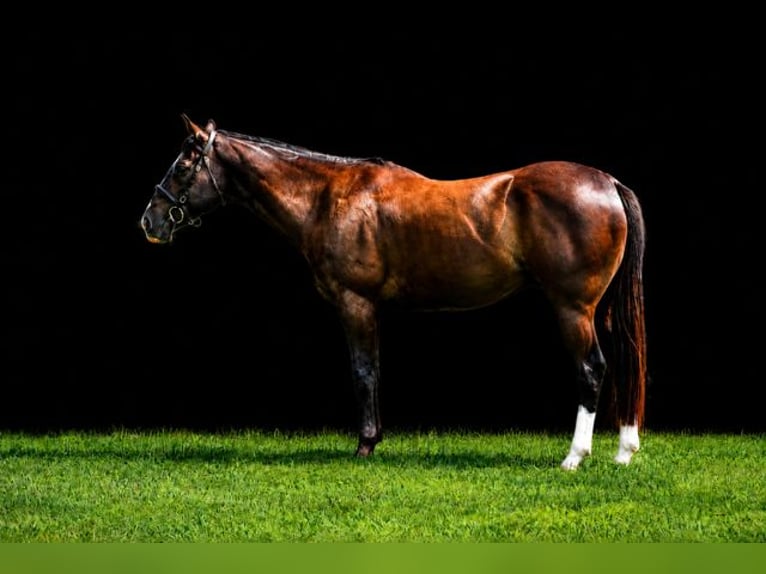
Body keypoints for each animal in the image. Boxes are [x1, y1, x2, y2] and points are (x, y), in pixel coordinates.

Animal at [140, 115, 647, 470]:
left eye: (183, 165)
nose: (151, 220)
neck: (326, 197)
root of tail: (607, 182)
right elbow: (374, 370)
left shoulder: (356, 303)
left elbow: (364, 371)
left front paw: (366, 444)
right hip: (595, 310)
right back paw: (624, 450)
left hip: (572, 308)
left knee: (591, 369)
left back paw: (574, 457)